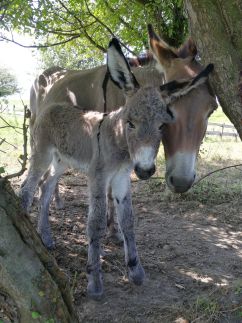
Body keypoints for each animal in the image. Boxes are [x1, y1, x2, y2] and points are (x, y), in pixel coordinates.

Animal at [20, 38, 214, 298]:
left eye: (162, 125)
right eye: (129, 123)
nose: (145, 171)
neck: (117, 139)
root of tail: (53, 106)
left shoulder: (121, 177)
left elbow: (128, 220)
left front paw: (135, 270)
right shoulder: (98, 177)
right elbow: (95, 222)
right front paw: (94, 280)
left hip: (62, 161)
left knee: (46, 187)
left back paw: (46, 237)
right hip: (41, 153)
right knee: (28, 186)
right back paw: (25, 225)